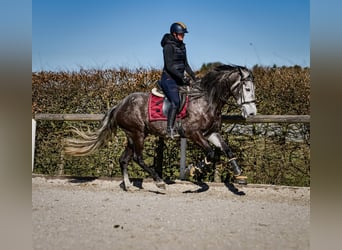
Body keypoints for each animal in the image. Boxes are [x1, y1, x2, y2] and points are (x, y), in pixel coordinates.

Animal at [64, 64, 256, 189]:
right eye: (247, 89)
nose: (252, 112)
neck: (205, 100)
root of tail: (119, 105)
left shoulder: (210, 132)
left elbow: (226, 149)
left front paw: (239, 174)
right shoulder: (193, 133)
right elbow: (211, 153)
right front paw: (192, 170)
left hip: (133, 135)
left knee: (124, 159)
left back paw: (128, 185)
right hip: (137, 134)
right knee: (138, 158)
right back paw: (159, 181)